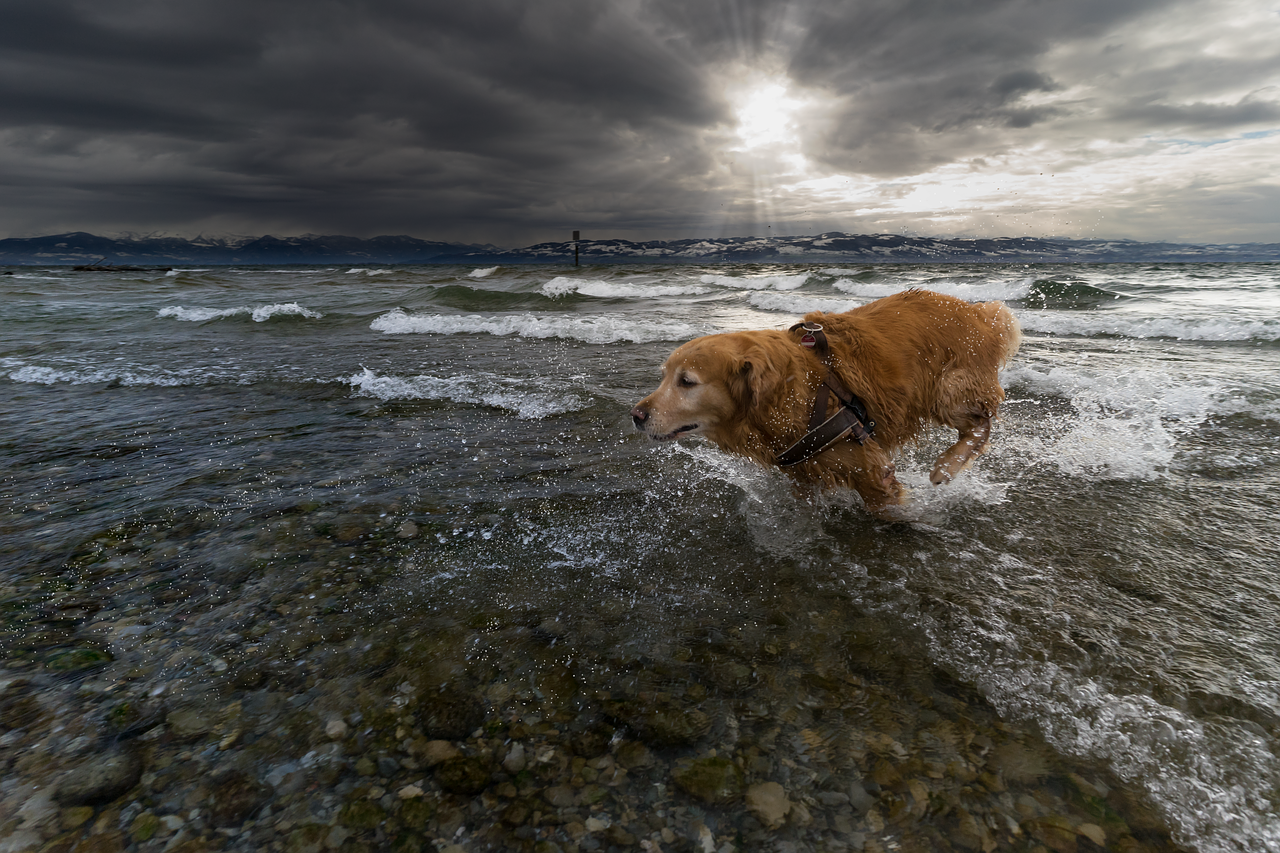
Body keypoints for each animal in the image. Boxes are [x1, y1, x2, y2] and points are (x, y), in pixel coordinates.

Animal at [627, 285, 1018, 512]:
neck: (792, 390)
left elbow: (888, 508)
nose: (636, 415)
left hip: (949, 388)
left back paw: (946, 467)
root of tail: (980, 312)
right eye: (663, 376)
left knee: (981, 425)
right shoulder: (803, 472)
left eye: (686, 382)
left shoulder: (871, 470)